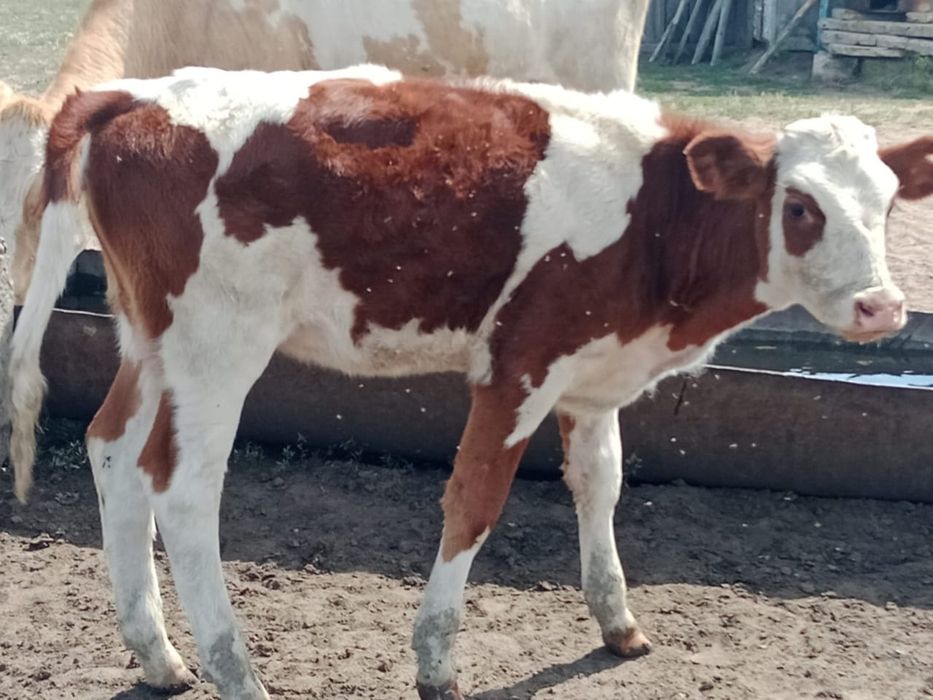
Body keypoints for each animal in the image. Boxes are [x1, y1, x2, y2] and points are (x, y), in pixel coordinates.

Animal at [10, 65, 933, 699]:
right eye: (801, 205)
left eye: (888, 202)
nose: (882, 307)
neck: (657, 215)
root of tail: (131, 93)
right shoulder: (518, 365)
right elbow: (476, 501)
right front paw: (436, 660)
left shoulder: (590, 373)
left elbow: (600, 485)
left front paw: (618, 623)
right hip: (217, 347)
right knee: (183, 489)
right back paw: (235, 673)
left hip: (150, 339)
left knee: (111, 450)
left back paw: (159, 656)